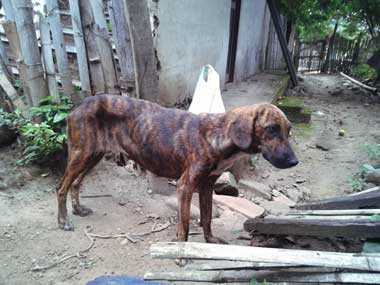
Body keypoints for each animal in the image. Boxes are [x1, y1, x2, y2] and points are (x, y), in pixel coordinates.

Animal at [58, 95, 298, 242]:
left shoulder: (207, 186)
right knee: (61, 187)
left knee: (76, 184)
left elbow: (207, 218)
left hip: (93, 156)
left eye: (288, 130)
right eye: (272, 129)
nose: (294, 162)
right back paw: (63, 221)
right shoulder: (185, 186)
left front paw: (210, 240)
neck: (218, 136)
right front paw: (182, 253)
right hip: (81, 155)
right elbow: (185, 225)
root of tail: (77, 106)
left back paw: (78, 209)